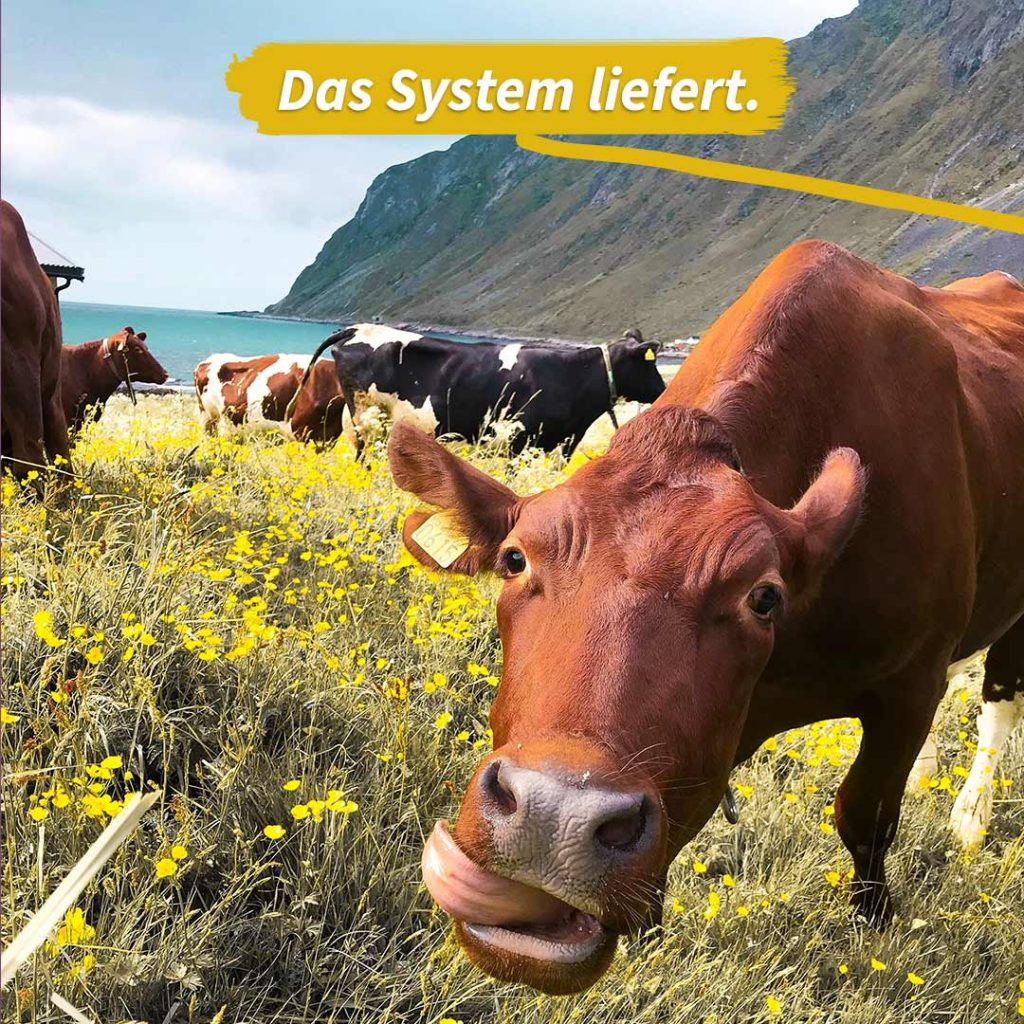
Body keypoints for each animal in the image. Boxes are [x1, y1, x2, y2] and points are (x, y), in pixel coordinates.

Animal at [294, 324, 664, 455]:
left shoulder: (561, 446)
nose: (663, 390)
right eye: (650, 363)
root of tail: (357, 328)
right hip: (367, 419)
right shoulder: (519, 440)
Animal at [388, 241, 1024, 995]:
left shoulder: (908, 682)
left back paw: (969, 821)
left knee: (998, 701)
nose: (554, 816)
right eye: (514, 559)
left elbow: (866, 813)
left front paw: (876, 922)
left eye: (763, 596)